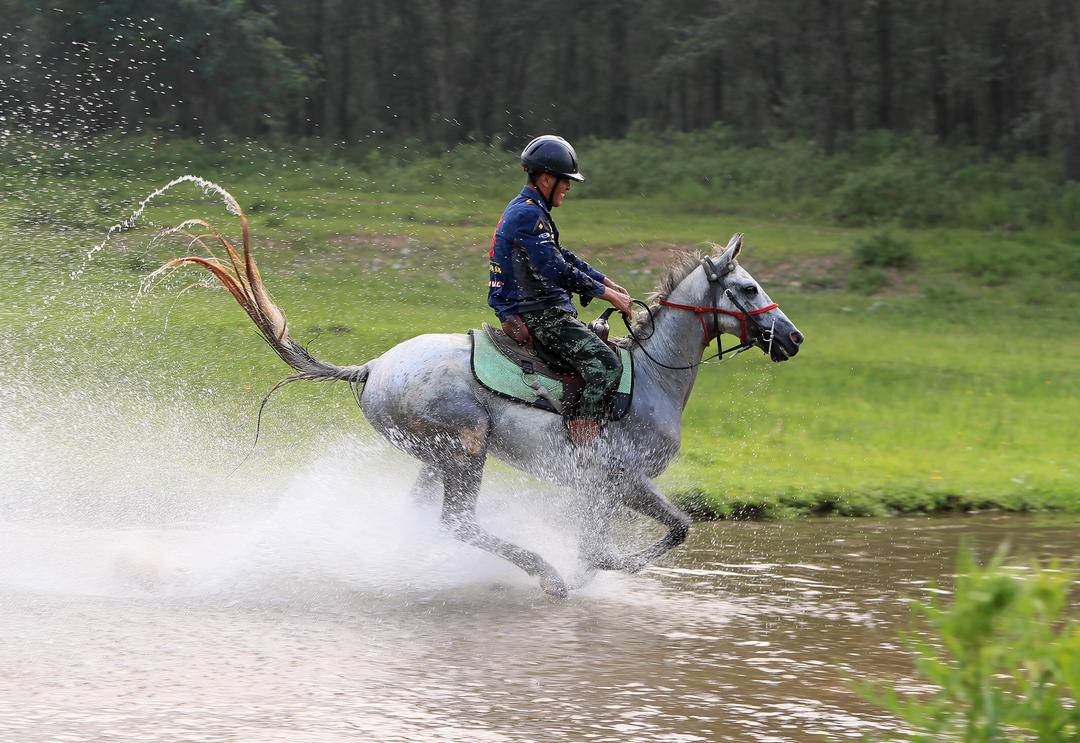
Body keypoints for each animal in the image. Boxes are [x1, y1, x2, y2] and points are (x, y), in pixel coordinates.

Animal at [162, 207, 803, 596]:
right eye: (747, 288)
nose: (793, 339)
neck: (649, 381)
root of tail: (372, 368)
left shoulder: (604, 488)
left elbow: (636, 537)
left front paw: (598, 570)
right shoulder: (619, 481)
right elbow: (664, 532)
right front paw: (594, 571)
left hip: (434, 459)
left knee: (427, 518)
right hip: (465, 448)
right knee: (459, 523)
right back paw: (546, 575)